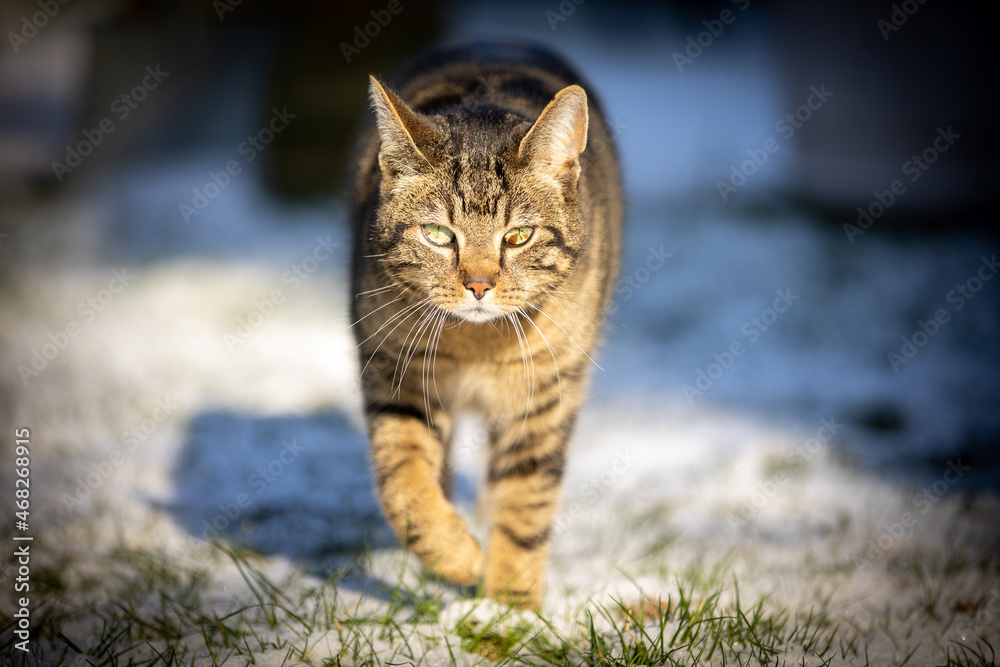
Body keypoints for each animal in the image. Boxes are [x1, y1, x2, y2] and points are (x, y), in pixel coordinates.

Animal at [348, 39, 620, 608]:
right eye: (437, 234)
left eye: (517, 237)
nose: (477, 284)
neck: (476, 343)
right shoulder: (394, 372)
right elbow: (404, 482)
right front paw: (457, 555)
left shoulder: (543, 396)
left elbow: (524, 504)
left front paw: (510, 609)